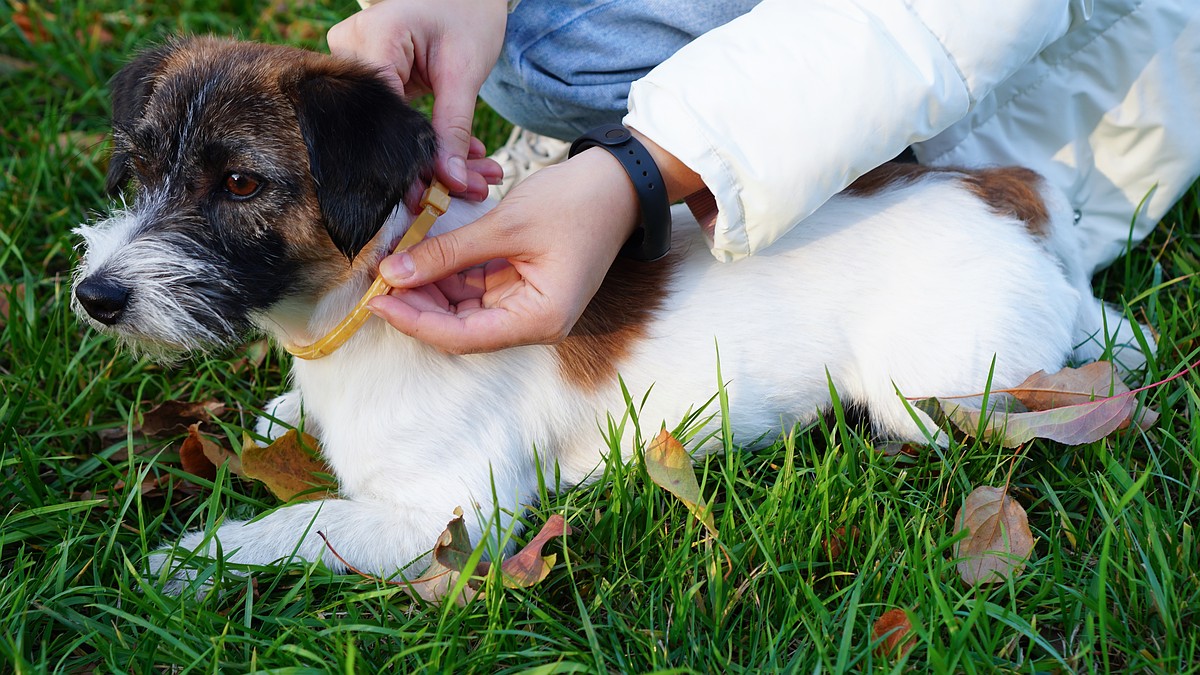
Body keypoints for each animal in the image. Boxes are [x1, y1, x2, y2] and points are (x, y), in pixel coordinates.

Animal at [70, 35, 1147, 583]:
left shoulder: (451, 514)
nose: (95, 296)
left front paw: (196, 558)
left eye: (243, 183)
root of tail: (1013, 195)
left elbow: (304, 526)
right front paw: (279, 418)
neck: (355, 301)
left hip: (932, 388)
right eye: (142, 167)